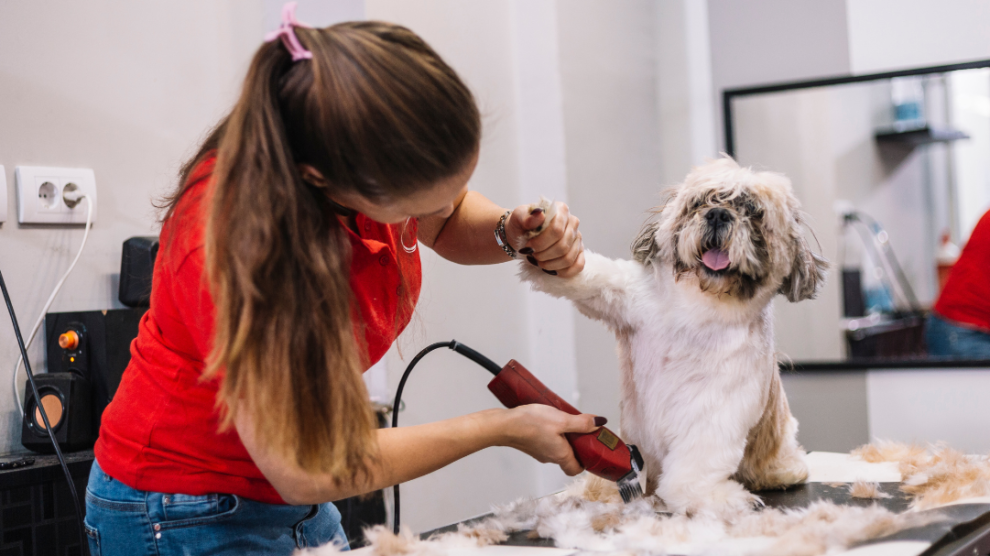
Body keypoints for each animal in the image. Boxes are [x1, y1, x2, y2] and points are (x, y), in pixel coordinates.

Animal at [524, 155, 832, 516]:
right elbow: (592, 278)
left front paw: (711, 498)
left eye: (753, 211)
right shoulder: (628, 298)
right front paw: (544, 235)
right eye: (701, 203)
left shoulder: (720, 403)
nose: (718, 214)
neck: (698, 308)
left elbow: (698, 460)